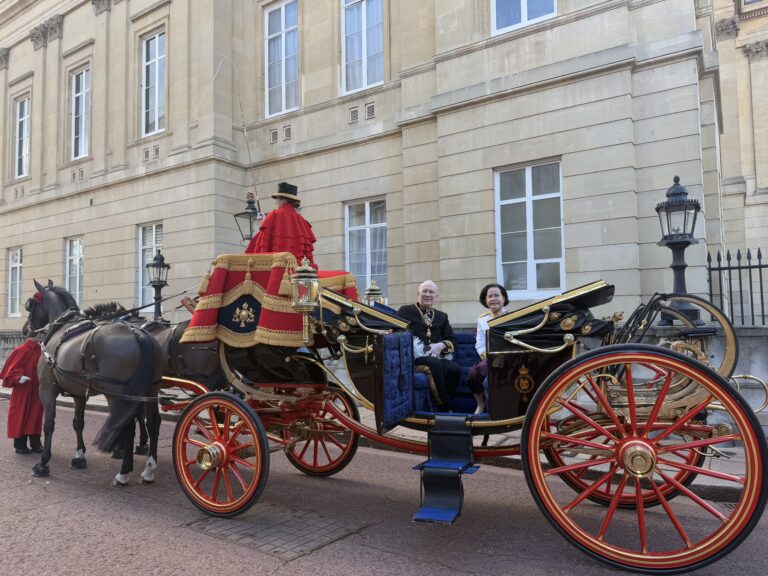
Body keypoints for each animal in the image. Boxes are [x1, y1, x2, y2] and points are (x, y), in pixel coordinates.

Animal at [26, 280, 164, 486]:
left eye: (30, 305)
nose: (26, 330)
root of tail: (138, 334)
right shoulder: (78, 393)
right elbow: (78, 422)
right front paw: (79, 456)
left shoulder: (47, 389)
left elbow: (49, 424)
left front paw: (43, 463)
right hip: (150, 391)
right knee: (153, 424)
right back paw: (148, 470)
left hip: (117, 395)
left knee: (127, 427)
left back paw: (124, 473)